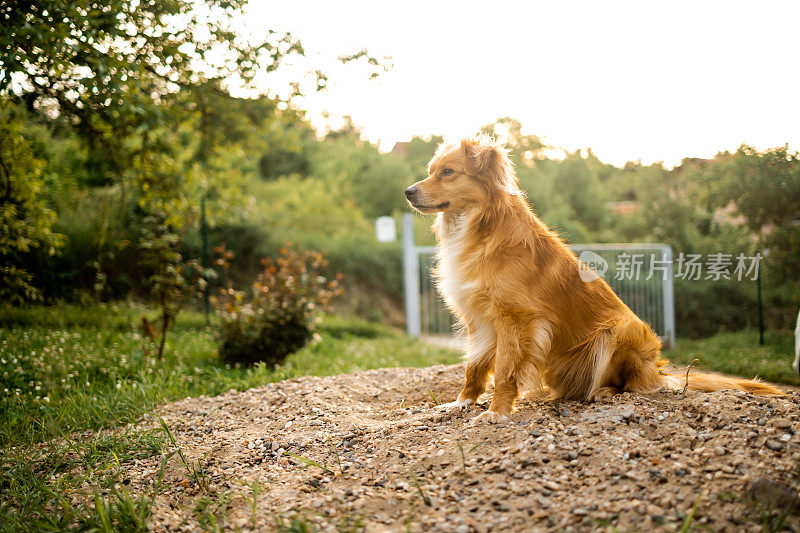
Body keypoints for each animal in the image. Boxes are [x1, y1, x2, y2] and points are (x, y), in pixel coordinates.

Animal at [406, 135, 780, 422]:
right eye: (431, 172)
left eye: (448, 172)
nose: (408, 191)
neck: (476, 225)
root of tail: (657, 369)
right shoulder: (479, 317)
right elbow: (475, 365)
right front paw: (462, 402)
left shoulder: (514, 319)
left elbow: (506, 369)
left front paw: (497, 412)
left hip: (623, 329)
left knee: (633, 384)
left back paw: (603, 391)